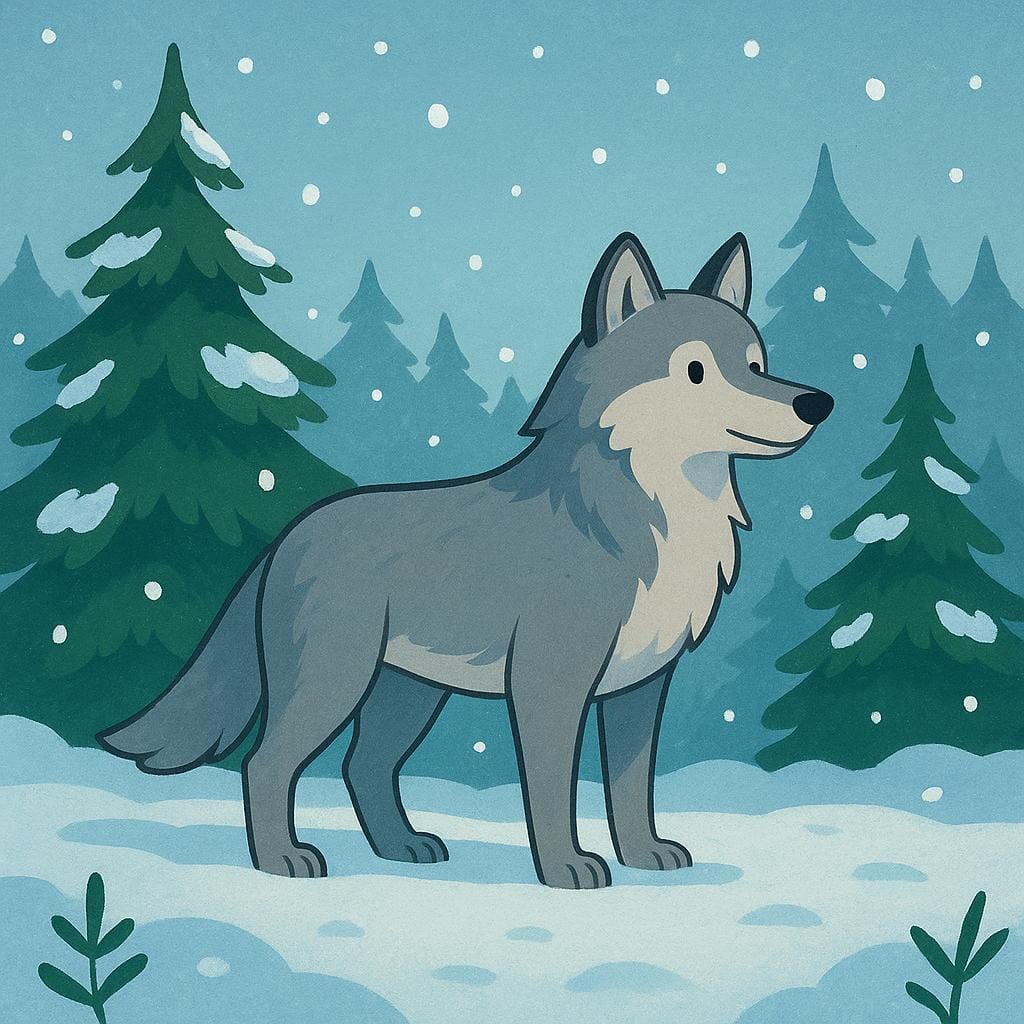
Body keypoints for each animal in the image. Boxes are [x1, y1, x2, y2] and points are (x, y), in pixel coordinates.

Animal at [100, 232, 832, 889]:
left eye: (757, 365)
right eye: (695, 371)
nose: (816, 403)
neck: (647, 518)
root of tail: (290, 532)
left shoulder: (640, 686)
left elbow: (630, 791)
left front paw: (644, 857)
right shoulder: (549, 687)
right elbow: (552, 793)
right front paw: (565, 871)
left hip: (409, 696)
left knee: (363, 767)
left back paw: (402, 849)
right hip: (333, 686)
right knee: (267, 763)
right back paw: (283, 861)